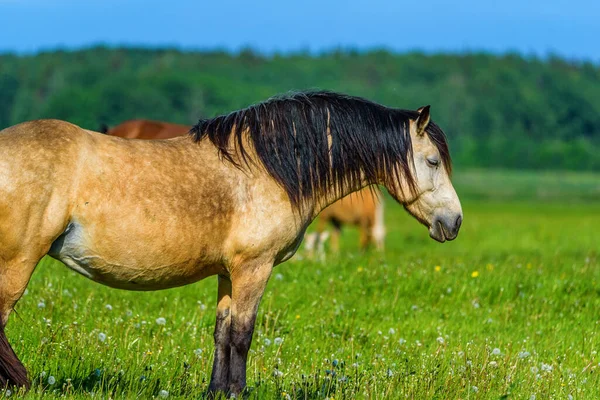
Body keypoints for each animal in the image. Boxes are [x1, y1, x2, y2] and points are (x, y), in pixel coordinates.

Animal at [0, 90, 464, 394]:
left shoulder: (229, 273)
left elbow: (222, 335)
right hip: (19, 260)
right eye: (432, 161)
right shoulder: (253, 268)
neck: (270, 167)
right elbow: (243, 335)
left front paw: (218, 392)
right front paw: (236, 392)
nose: (454, 222)